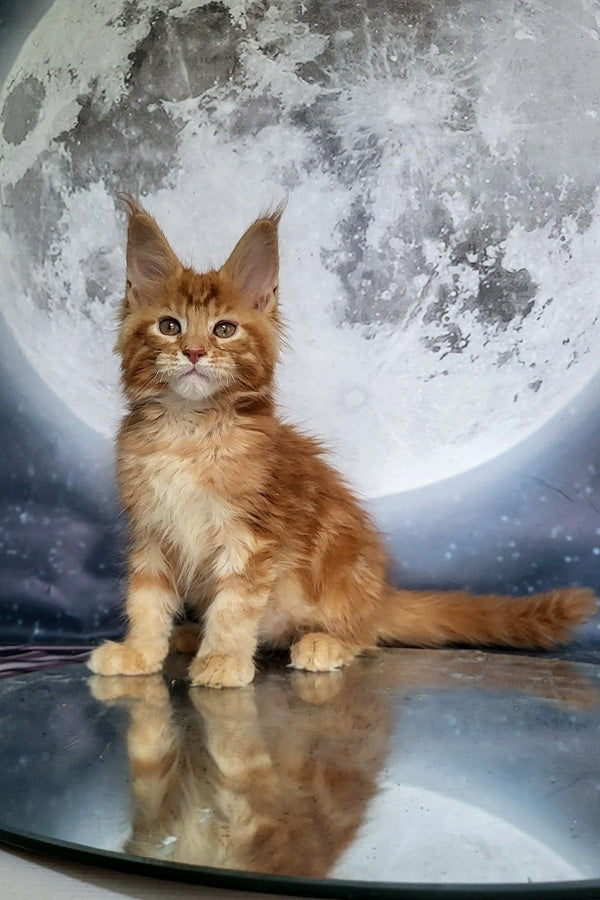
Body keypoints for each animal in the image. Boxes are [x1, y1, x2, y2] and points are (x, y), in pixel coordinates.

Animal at [86, 199, 596, 688]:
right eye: (170, 326)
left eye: (224, 329)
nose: (193, 352)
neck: (187, 433)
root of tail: (378, 598)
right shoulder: (150, 531)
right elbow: (146, 600)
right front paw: (140, 653)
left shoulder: (252, 536)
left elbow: (233, 606)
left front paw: (224, 659)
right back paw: (191, 635)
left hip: (338, 584)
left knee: (365, 637)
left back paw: (321, 643)